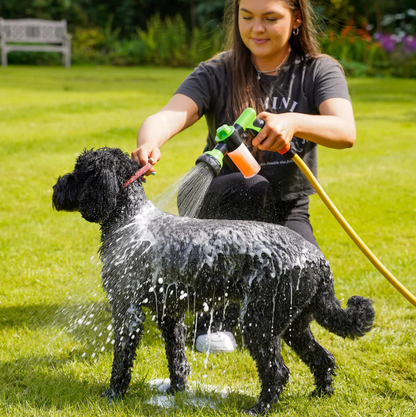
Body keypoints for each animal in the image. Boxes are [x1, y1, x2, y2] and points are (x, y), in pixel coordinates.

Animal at [52, 148, 376, 414]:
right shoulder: (169, 315)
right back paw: (321, 395)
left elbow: (121, 362)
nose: (55, 187)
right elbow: (177, 359)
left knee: (277, 371)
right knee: (323, 359)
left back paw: (260, 408)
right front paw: (176, 391)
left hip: (259, 322)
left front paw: (113, 394)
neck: (130, 220)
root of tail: (318, 260)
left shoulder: (127, 312)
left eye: (79, 171)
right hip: (294, 324)